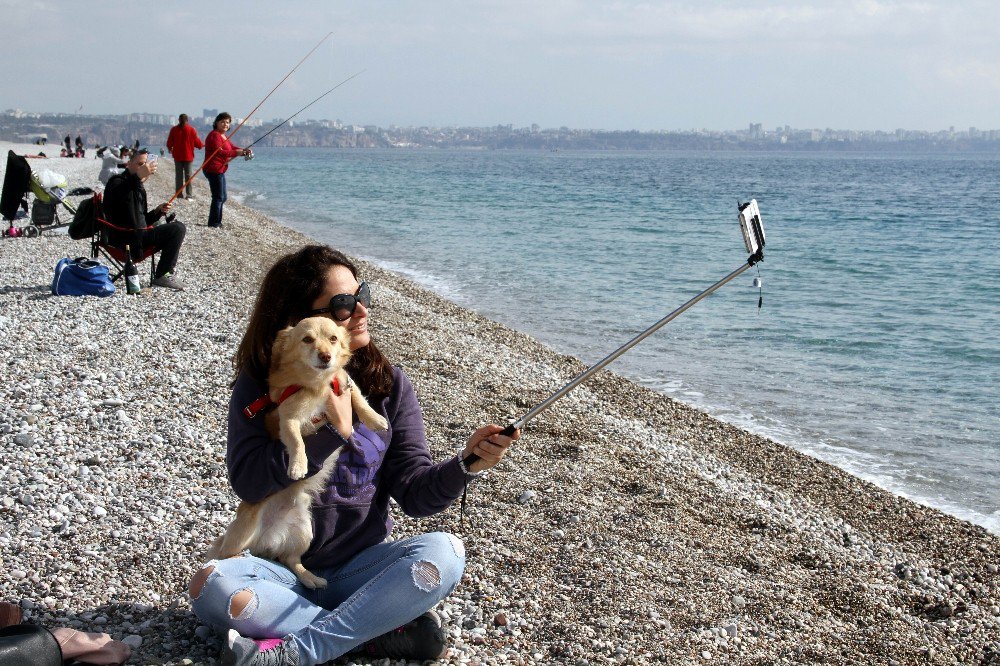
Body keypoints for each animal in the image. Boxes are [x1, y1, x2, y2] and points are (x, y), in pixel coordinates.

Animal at [207, 316, 386, 588]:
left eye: (333, 339)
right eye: (307, 339)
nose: (326, 356)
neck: (318, 384)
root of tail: (267, 539)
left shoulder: (346, 383)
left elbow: (359, 400)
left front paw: (375, 419)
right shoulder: (288, 418)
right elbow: (297, 441)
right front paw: (298, 465)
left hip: (304, 530)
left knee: (292, 559)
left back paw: (311, 578)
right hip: (243, 532)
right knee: (223, 554)